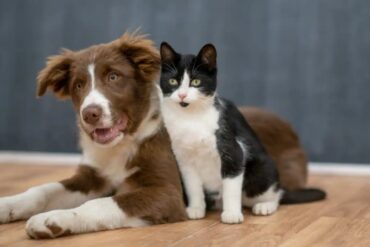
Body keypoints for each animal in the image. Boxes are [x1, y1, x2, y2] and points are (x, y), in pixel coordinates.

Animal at [0, 33, 185, 238]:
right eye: (78, 85)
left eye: (113, 76)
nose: (89, 114)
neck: (120, 146)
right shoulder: (91, 177)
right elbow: (43, 189)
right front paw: (7, 204)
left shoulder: (168, 193)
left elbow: (102, 203)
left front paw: (56, 218)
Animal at [158, 41, 326, 224]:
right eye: (173, 81)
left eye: (196, 81)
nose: (182, 95)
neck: (190, 118)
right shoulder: (184, 160)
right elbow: (193, 187)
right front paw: (196, 208)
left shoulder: (233, 150)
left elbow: (231, 186)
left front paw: (231, 214)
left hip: (261, 170)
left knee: (275, 194)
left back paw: (265, 206)